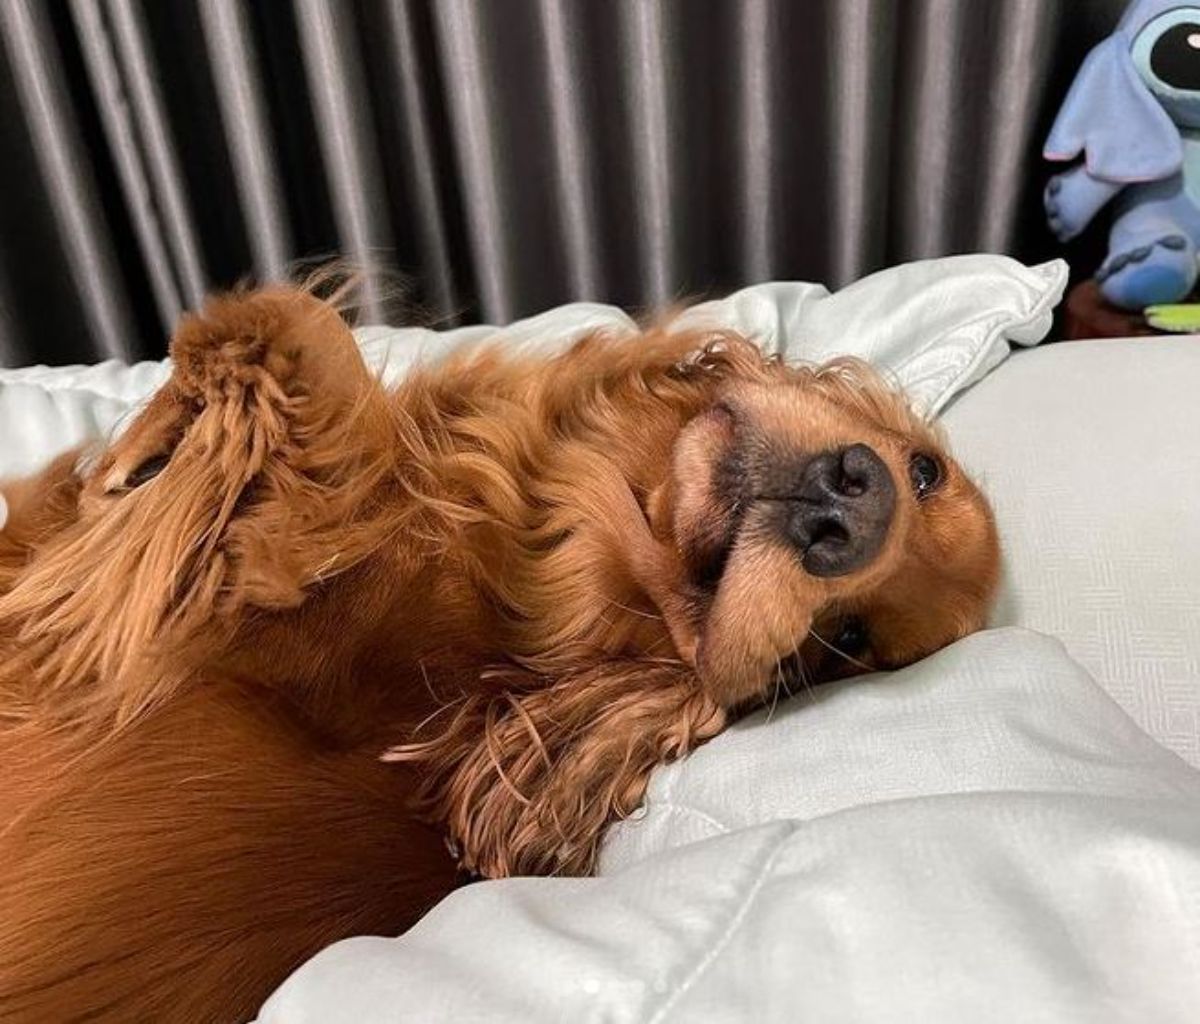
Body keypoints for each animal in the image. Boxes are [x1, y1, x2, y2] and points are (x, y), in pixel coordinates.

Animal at [0, 283, 998, 1017]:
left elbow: (311, 344)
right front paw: (142, 444)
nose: (854, 511)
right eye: (924, 471)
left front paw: (161, 439)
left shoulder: (269, 588)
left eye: (844, 644)